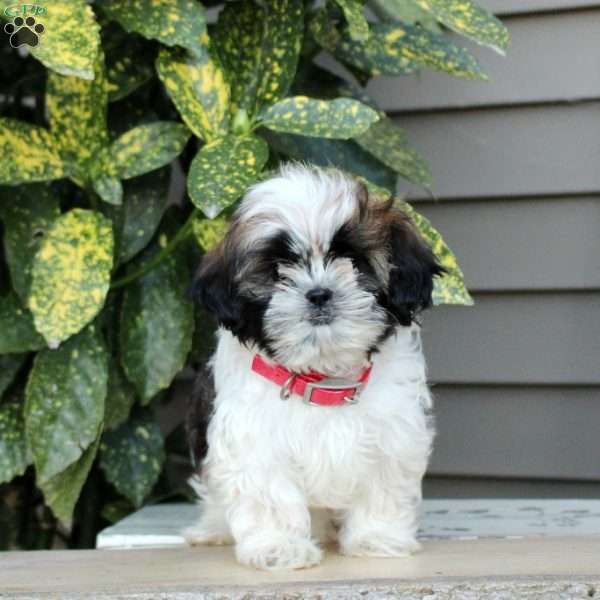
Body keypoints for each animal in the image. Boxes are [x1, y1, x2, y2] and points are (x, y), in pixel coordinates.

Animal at [185, 164, 442, 572]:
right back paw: (212, 530)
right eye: (278, 270)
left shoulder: (393, 432)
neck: (323, 379)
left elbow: (383, 485)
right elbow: (270, 494)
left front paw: (376, 537)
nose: (319, 293)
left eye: (353, 261)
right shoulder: (254, 440)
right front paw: (278, 547)